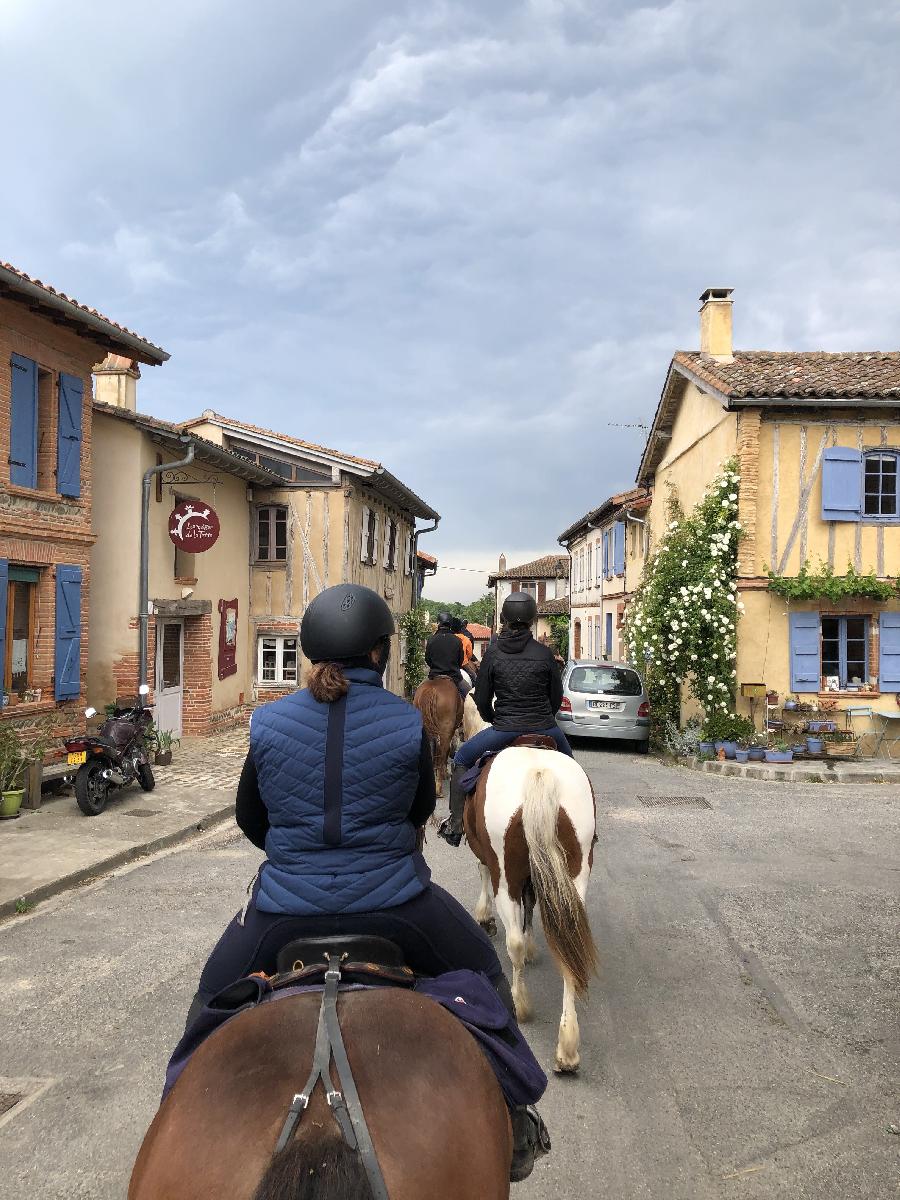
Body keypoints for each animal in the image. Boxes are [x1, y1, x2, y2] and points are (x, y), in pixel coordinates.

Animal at [465, 744, 600, 1075]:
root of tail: (540, 774)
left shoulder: (490, 860)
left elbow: (483, 871)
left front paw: (485, 918)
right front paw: (531, 947)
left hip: (506, 874)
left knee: (512, 939)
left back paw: (521, 1005)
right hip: (576, 873)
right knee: (569, 946)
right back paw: (567, 1048)